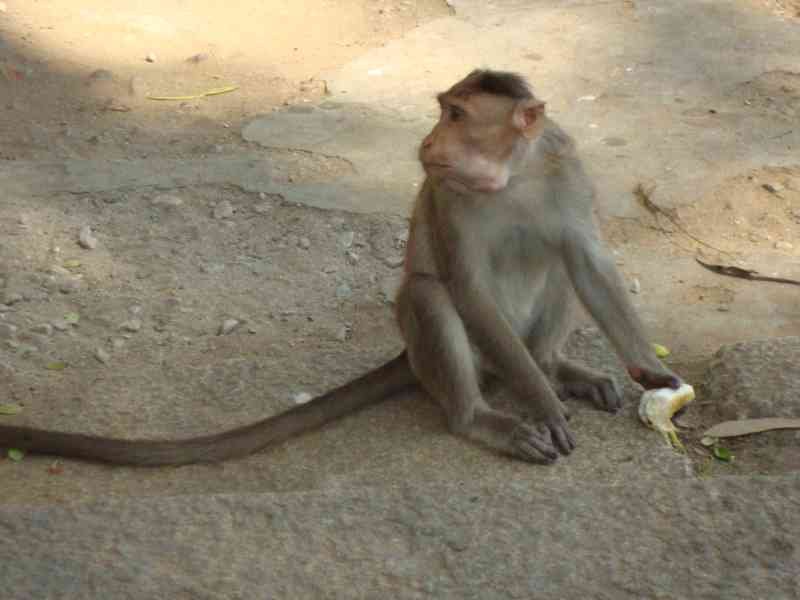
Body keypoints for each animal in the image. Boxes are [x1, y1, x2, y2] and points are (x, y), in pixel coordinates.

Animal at [0, 69, 679, 466]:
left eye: (457, 116)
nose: (428, 142)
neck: (510, 175)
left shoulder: (566, 167)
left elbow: (587, 259)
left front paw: (650, 371)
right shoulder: (448, 196)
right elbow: (465, 287)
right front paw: (542, 406)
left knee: (560, 264)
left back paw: (552, 364)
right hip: (463, 353)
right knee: (429, 296)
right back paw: (484, 416)